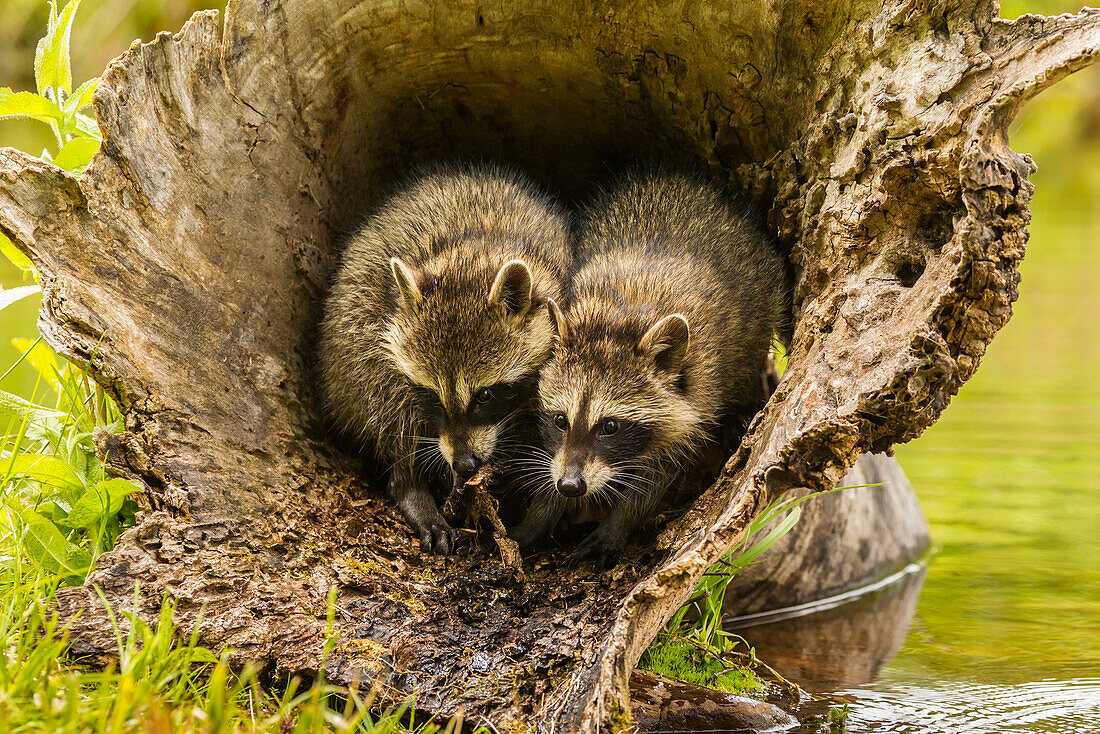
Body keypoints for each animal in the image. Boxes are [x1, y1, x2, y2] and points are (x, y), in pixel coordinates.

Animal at [321, 165, 567, 556]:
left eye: (484, 395)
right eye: (433, 396)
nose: (464, 465)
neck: (472, 254)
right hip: (349, 346)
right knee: (382, 394)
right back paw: (410, 487)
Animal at [510, 170, 787, 563]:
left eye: (610, 426)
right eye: (560, 420)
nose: (571, 486)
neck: (617, 317)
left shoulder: (695, 397)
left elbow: (660, 470)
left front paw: (617, 524)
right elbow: (556, 459)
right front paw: (541, 512)